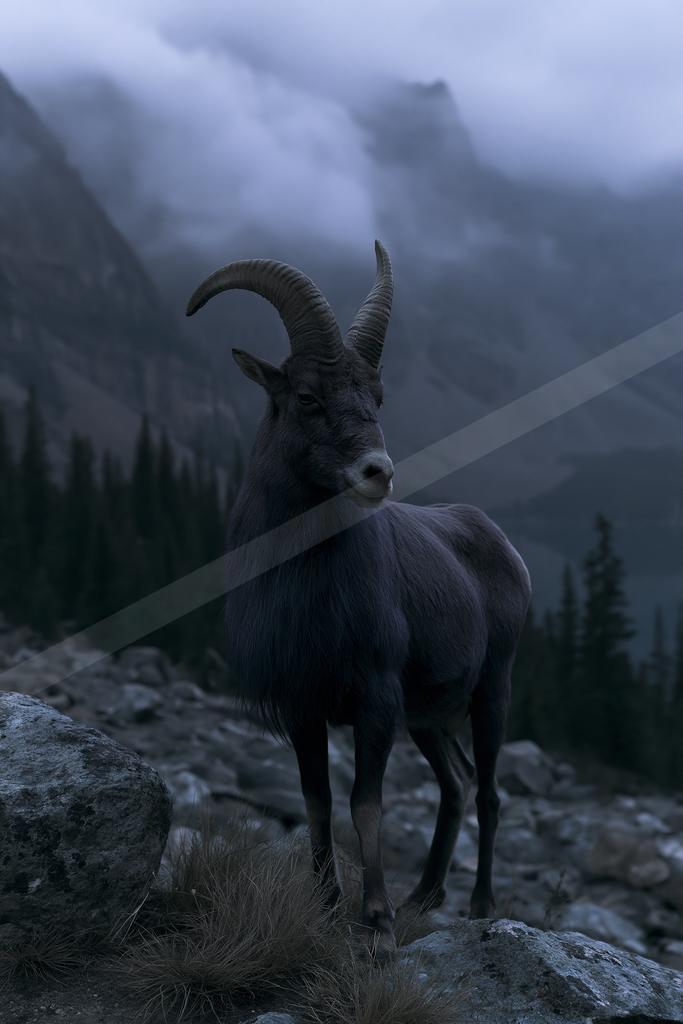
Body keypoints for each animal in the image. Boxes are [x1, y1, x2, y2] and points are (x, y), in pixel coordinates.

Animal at [186, 241, 531, 958]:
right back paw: (423, 894)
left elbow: (364, 804)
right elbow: (317, 802)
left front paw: (375, 923)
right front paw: (325, 900)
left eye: (375, 396)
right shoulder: (304, 707)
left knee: (488, 792)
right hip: (428, 718)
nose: (379, 472)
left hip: (492, 690)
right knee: (456, 783)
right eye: (307, 396)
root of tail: (503, 548)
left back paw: (478, 905)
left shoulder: (374, 697)